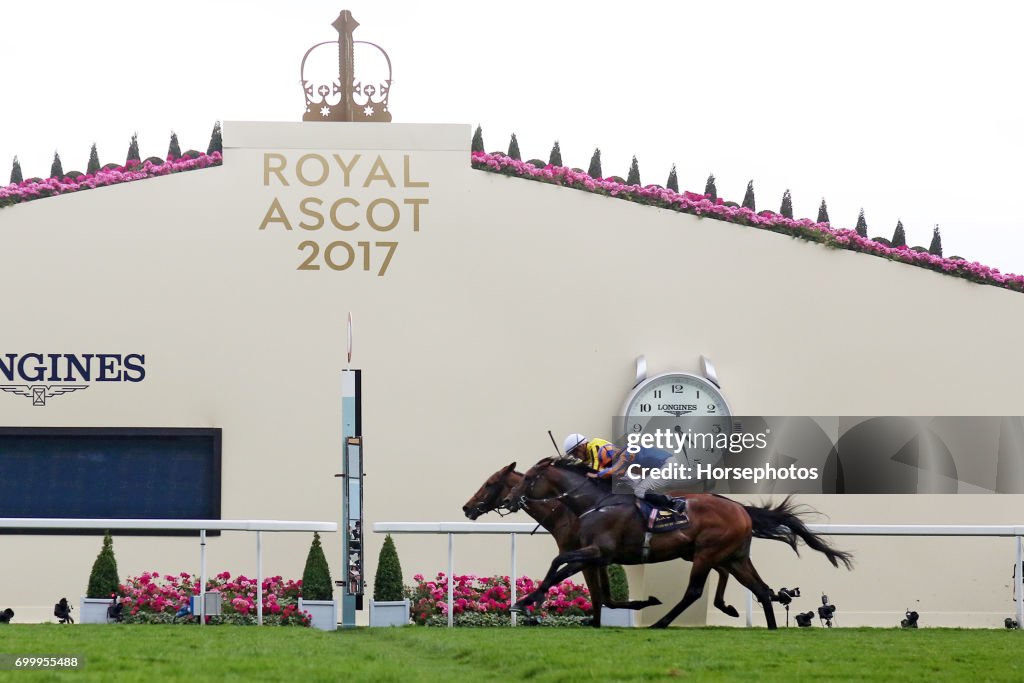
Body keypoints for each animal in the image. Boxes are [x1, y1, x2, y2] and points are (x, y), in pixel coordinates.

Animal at [460, 462, 659, 626]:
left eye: (489, 483)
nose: (466, 507)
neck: (565, 515)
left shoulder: (588, 556)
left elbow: (595, 595)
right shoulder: (597, 557)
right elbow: (604, 597)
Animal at [505, 458, 856, 630]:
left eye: (529, 479)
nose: (511, 498)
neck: (595, 503)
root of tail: (741, 509)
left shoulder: (599, 551)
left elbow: (557, 564)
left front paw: (528, 601)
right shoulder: (596, 555)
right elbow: (568, 571)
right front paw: (529, 601)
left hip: (707, 553)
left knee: (694, 592)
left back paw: (660, 622)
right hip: (735, 557)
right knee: (759, 589)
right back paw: (769, 628)